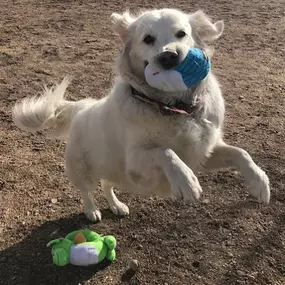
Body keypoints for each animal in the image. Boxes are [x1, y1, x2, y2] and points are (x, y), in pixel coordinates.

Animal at [12, 7, 270, 221]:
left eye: (181, 33)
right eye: (148, 39)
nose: (169, 56)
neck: (173, 107)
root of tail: (83, 106)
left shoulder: (202, 152)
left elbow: (241, 153)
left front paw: (259, 182)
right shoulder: (136, 161)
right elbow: (165, 152)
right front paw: (186, 182)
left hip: (112, 168)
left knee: (106, 185)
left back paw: (116, 206)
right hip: (83, 169)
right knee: (86, 190)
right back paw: (92, 210)